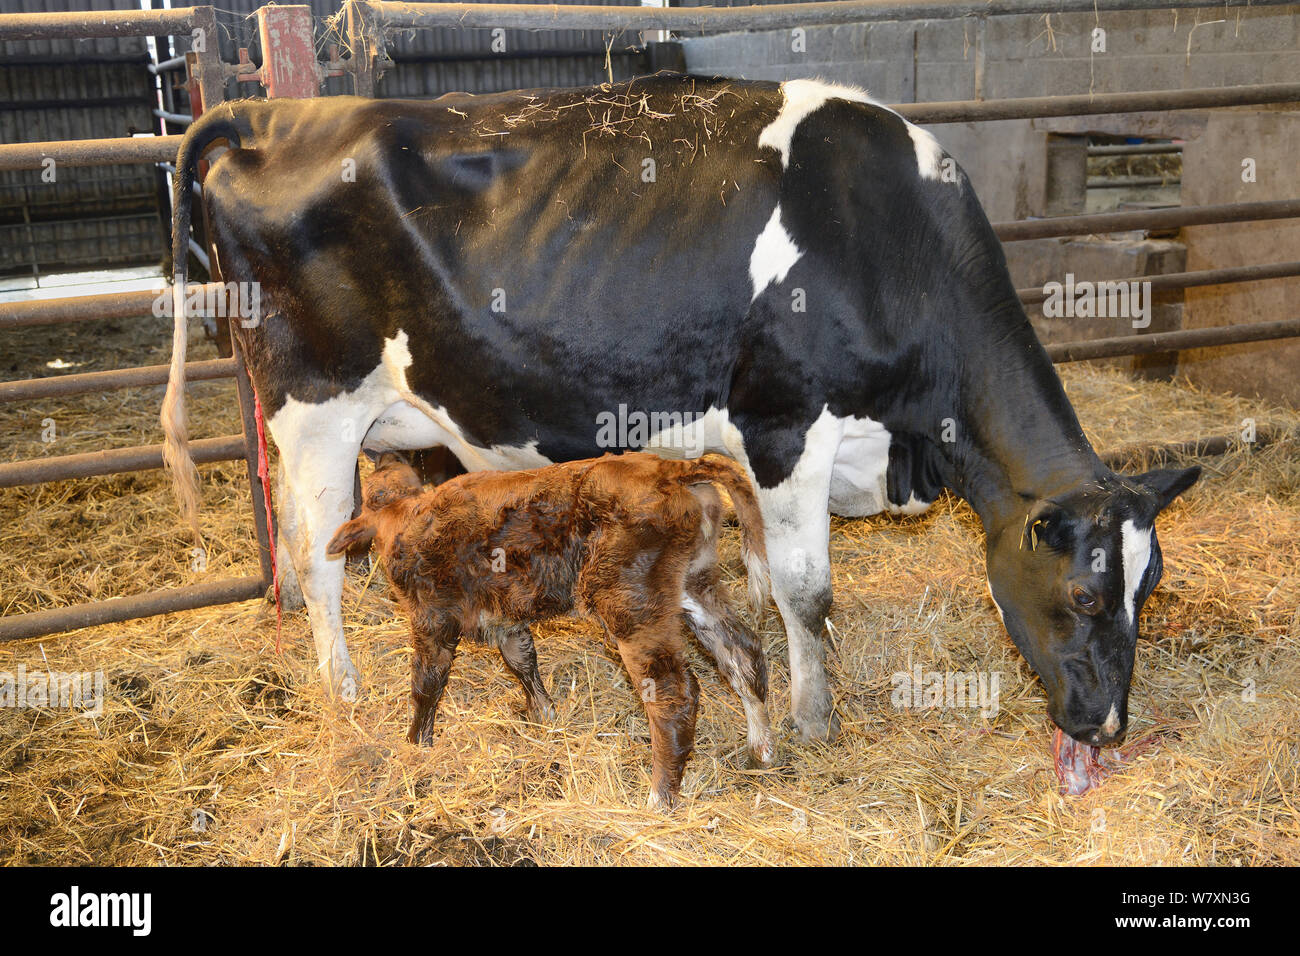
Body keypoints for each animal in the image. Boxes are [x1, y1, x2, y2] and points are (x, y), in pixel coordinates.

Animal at [162, 75, 1199, 750]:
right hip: (315, 412)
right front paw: (813, 720)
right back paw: (344, 697)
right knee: (317, 562)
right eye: (1083, 596)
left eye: (1147, 590)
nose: (1106, 727)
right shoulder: (785, 427)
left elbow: (764, 582)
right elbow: (806, 588)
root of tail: (271, 112)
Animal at [325, 450, 774, 807]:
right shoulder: (505, 619)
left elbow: (426, 684)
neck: (404, 516)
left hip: (630, 604)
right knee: (743, 654)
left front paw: (416, 746)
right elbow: (522, 660)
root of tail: (674, 467)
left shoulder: (432, 618)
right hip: (695, 585)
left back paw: (659, 798)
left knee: (673, 694)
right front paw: (545, 716)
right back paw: (762, 751)